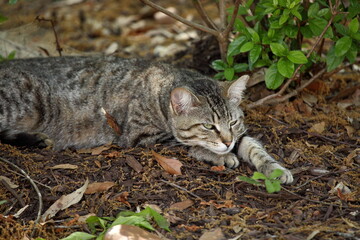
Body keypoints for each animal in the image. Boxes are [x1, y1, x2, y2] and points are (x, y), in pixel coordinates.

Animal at [0, 56, 292, 184]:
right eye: (209, 126)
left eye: (232, 123)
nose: (227, 142)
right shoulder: (143, 136)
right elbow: (188, 144)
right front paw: (221, 156)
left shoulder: (239, 136)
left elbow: (253, 146)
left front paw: (276, 168)